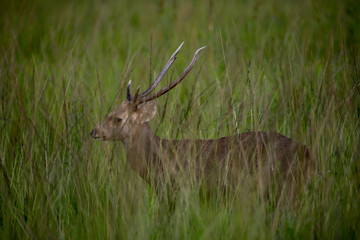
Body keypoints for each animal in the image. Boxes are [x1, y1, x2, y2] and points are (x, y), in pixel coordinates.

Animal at [90, 42, 316, 200]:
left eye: (118, 119)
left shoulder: (177, 190)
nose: (93, 131)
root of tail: (308, 153)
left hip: (285, 188)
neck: (159, 159)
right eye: (109, 111)